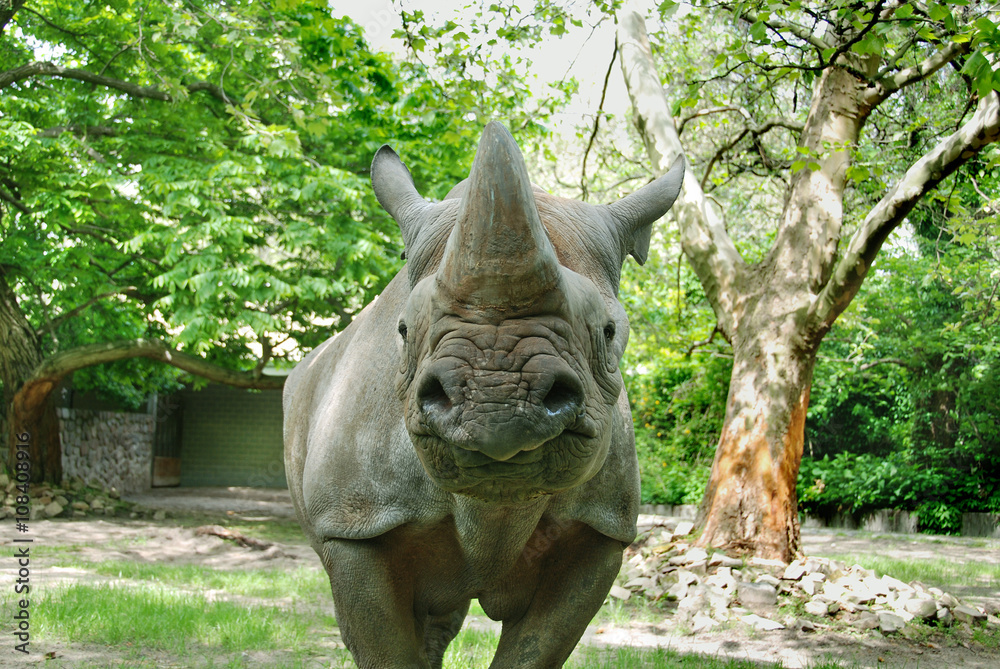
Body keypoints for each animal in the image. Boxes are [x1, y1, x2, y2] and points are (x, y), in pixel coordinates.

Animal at [284, 121, 683, 668]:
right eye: (403, 330)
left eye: (609, 331)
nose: (497, 401)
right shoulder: (353, 524)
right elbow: (385, 648)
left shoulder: (598, 533)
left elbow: (534, 651)